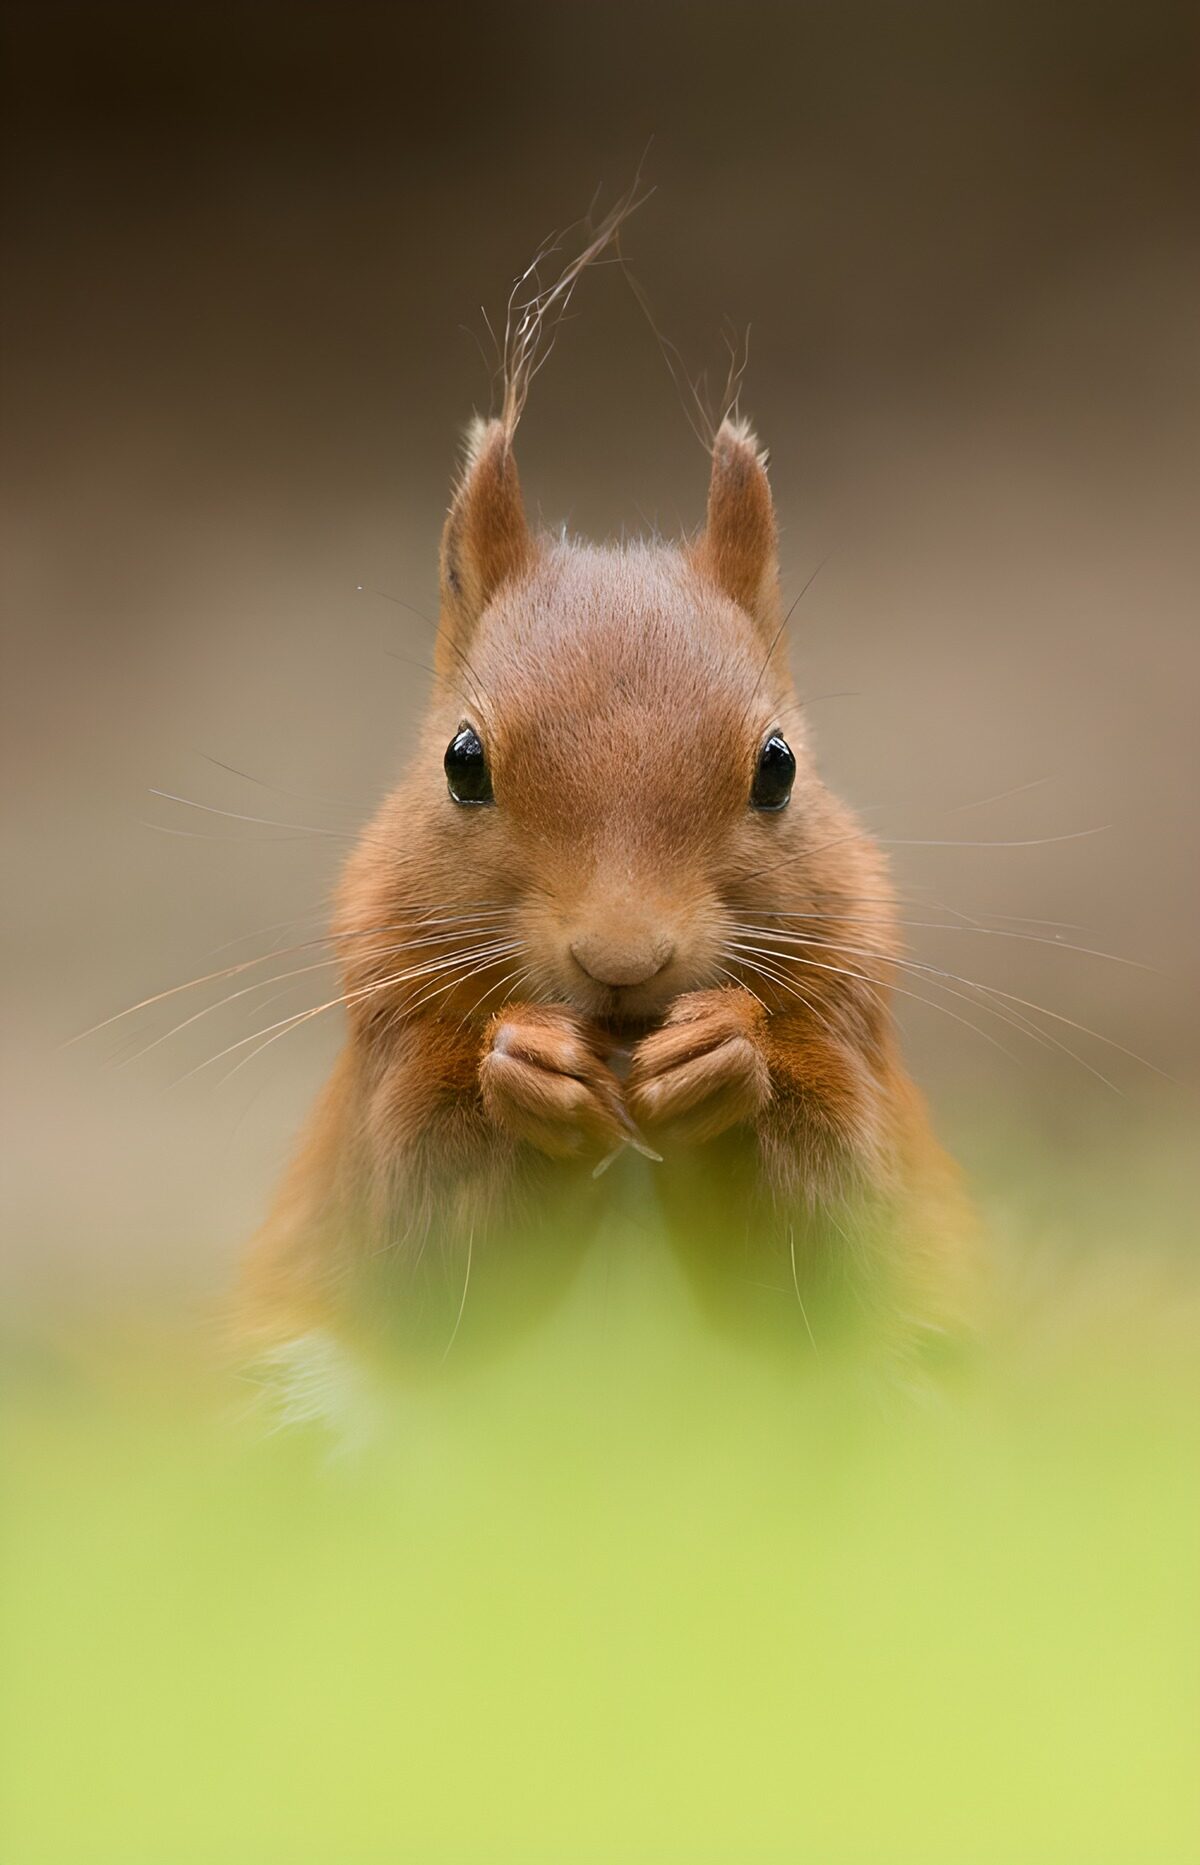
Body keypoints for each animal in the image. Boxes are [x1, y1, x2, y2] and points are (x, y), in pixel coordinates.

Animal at [239, 404, 976, 1380]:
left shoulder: (853, 1024)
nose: (621, 958)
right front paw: (527, 1064)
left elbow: (829, 1243)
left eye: (778, 767)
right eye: (461, 762)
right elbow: (420, 1241)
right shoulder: (381, 1060)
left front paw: (725, 1050)